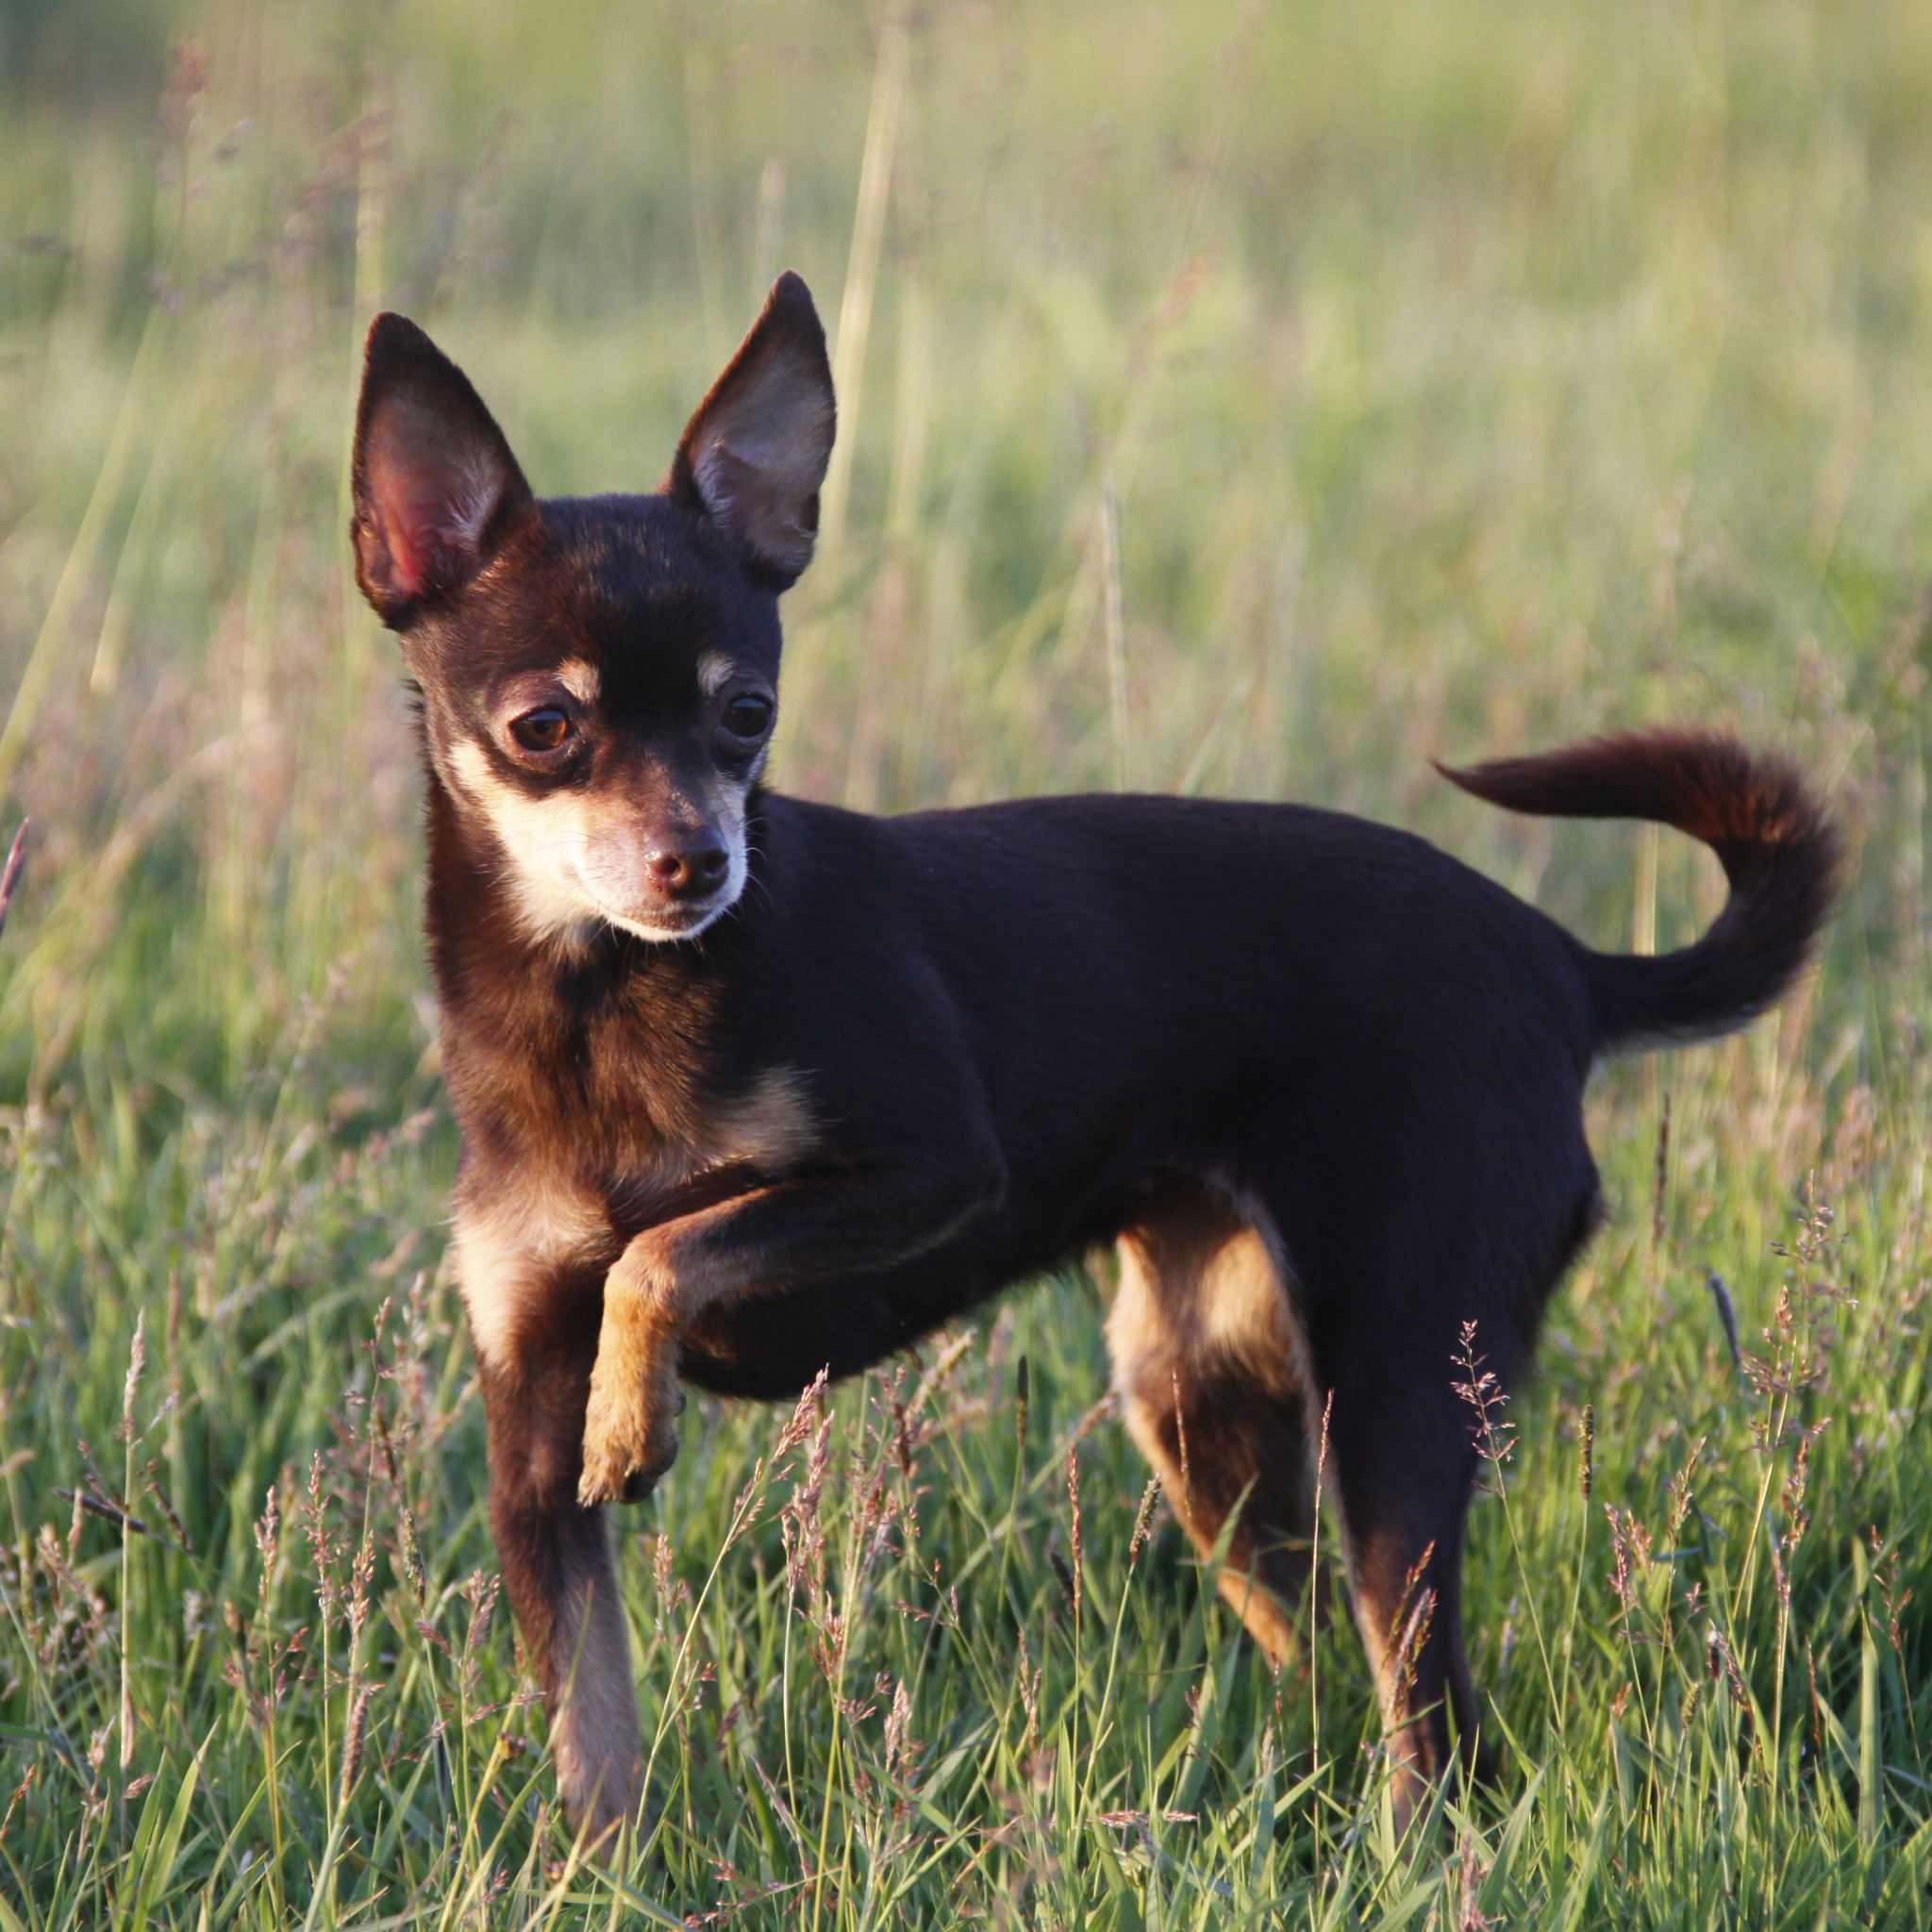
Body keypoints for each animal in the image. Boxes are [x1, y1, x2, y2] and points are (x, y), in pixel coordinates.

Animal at [347, 268, 1839, 1839]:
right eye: (544, 727)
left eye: (746, 714)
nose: (697, 862)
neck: (589, 1005)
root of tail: (1559, 963)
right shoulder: (527, 1420)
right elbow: (592, 1727)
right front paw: (605, 1863)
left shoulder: (932, 1171)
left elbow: (663, 1249)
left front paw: (638, 1412)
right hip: (1199, 1406)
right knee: (1321, 1642)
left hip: (1396, 1392)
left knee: (1432, 1716)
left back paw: (1410, 1846)